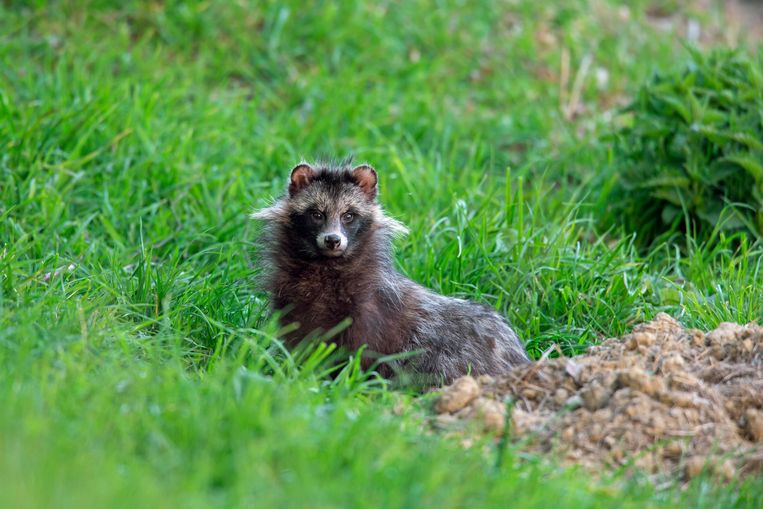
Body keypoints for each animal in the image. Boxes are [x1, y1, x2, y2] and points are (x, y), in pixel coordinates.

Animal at [252, 161, 532, 382]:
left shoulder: (369, 309)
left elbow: (361, 349)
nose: (333, 240)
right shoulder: (292, 301)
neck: (325, 265)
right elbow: (296, 338)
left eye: (349, 216)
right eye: (316, 214)